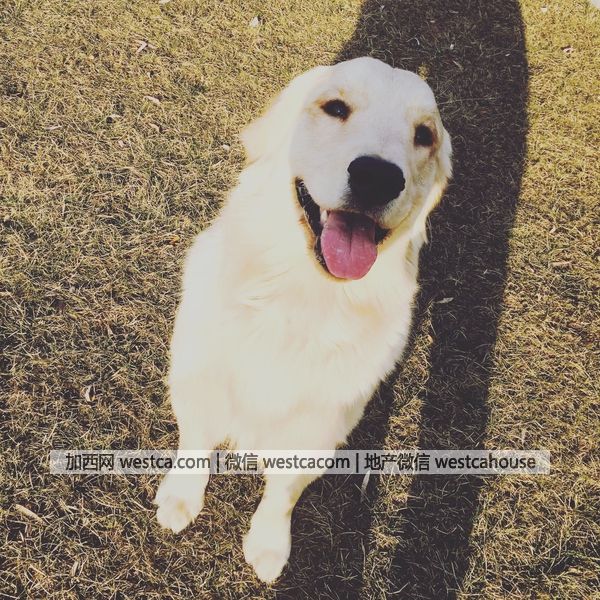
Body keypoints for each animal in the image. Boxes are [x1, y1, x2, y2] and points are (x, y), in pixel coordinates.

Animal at [154, 56, 452, 583]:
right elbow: (195, 442)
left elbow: (284, 492)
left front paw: (269, 543)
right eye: (335, 107)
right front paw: (181, 497)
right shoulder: (199, 380)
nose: (378, 177)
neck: (303, 300)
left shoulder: (319, 427)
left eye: (424, 135)